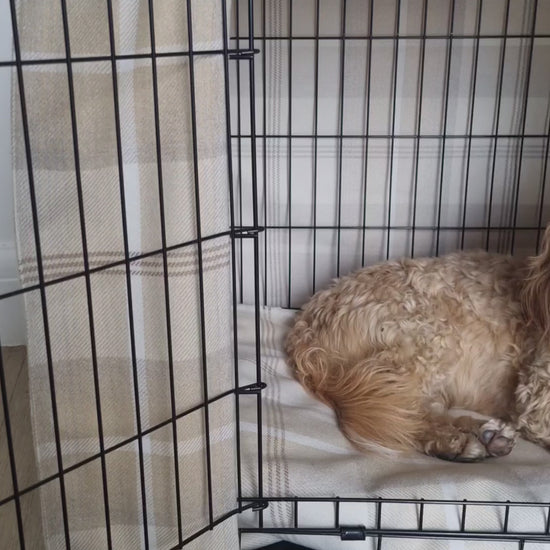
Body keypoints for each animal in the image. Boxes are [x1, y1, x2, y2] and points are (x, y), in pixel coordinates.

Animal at [286, 226, 550, 464]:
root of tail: (305, 326)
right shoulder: (536, 399)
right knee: (404, 414)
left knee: (415, 409)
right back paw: (456, 442)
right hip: (426, 339)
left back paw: (485, 434)